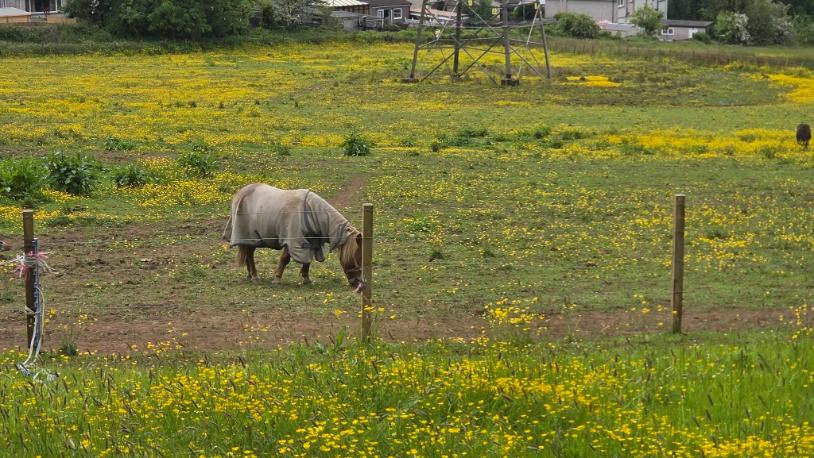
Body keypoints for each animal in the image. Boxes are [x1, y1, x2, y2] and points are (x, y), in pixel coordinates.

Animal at [222, 184, 363, 289]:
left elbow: (307, 260)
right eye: (356, 257)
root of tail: (241, 193)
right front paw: (277, 278)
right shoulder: (292, 240)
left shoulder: (311, 243)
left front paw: (306, 279)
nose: (358, 283)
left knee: (248, 254)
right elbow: (285, 259)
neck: (310, 212)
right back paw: (255, 276)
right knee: (249, 255)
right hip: (249, 236)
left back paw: (250, 275)